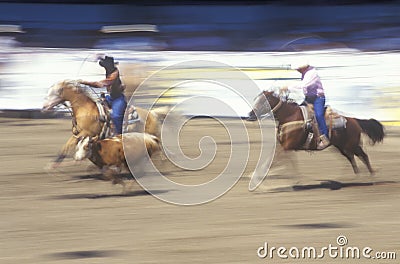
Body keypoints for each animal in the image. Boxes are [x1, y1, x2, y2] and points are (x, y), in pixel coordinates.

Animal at [247, 89, 384, 174]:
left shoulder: (286, 146)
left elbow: (273, 162)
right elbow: (288, 163)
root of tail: (354, 120)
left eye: (263, 101)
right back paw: (357, 175)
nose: (250, 115)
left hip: (351, 145)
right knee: (352, 158)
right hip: (342, 147)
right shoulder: (285, 147)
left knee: (363, 156)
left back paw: (371, 175)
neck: (289, 116)